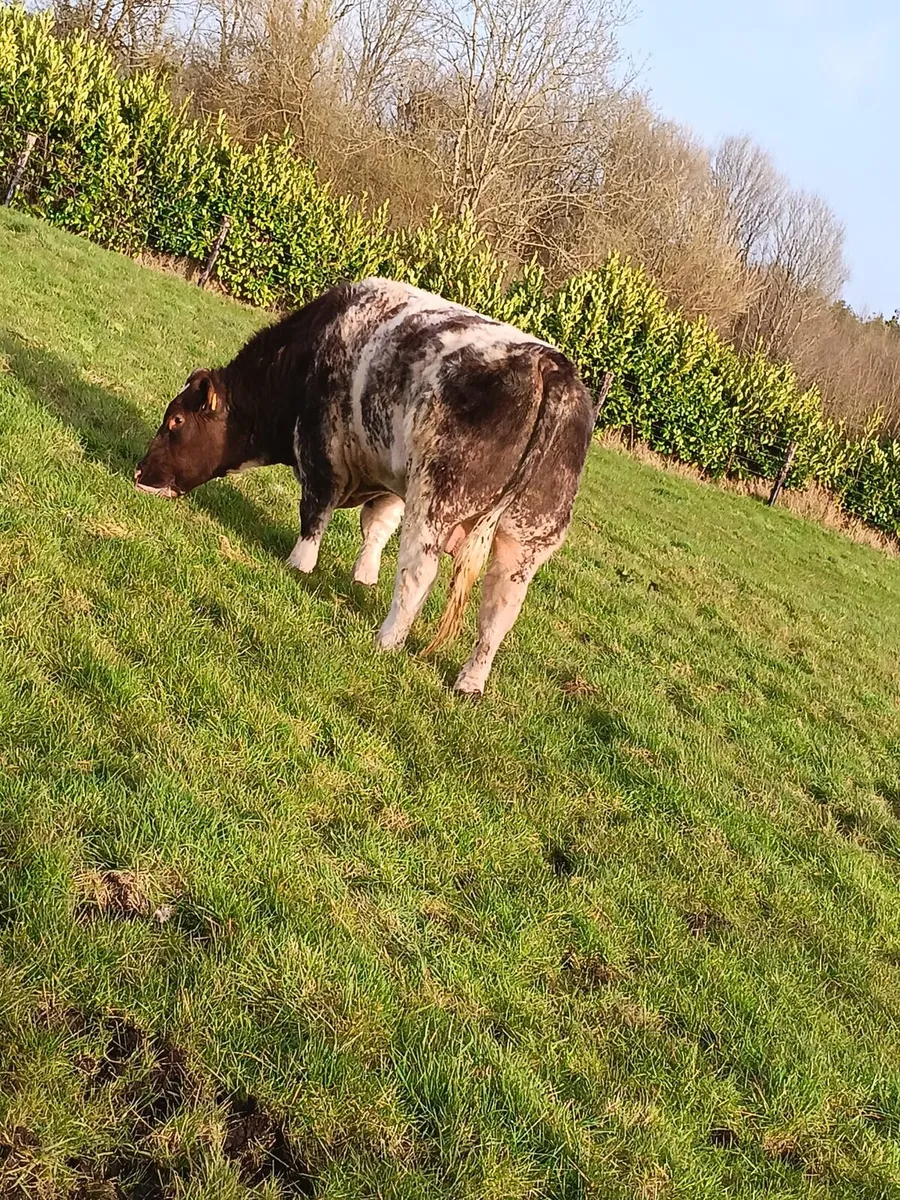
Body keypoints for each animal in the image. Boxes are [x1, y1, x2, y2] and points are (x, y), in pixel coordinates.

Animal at [134, 278, 597, 696]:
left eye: (176, 421)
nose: (140, 473)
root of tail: (549, 365)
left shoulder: (321, 449)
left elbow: (315, 512)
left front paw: (299, 564)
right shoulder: (389, 478)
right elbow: (376, 526)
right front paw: (364, 576)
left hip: (435, 501)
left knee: (418, 574)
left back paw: (386, 640)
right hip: (528, 537)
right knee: (500, 609)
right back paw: (470, 682)